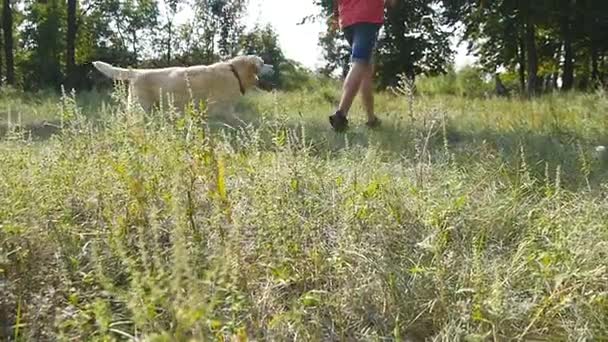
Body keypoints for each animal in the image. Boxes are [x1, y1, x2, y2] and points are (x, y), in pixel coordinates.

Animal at [92, 54, 274, 113]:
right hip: (141, 109)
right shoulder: (223, 111)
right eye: (263, 63)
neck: (235, 72)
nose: (273, 67)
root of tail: (136, 72)